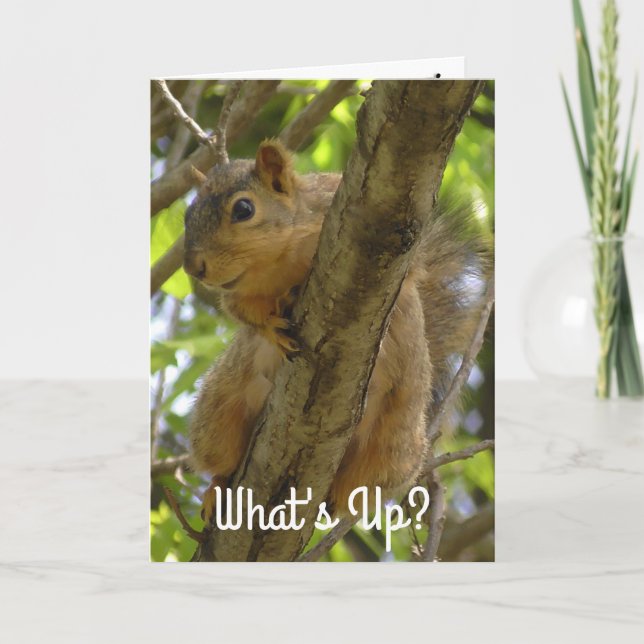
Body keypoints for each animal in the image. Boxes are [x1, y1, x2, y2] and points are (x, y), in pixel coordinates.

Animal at [182, 139, 491, 518]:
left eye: (243, 209)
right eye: (187, 215)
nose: (193, 267)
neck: (281, 259)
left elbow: (408, 279)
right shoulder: (238, 295)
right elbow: (243, 313)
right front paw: (272, 325)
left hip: (393, 446)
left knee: (354, 492)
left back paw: (335, 497)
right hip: (219, 407)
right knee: (221, 458)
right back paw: (216, 488)